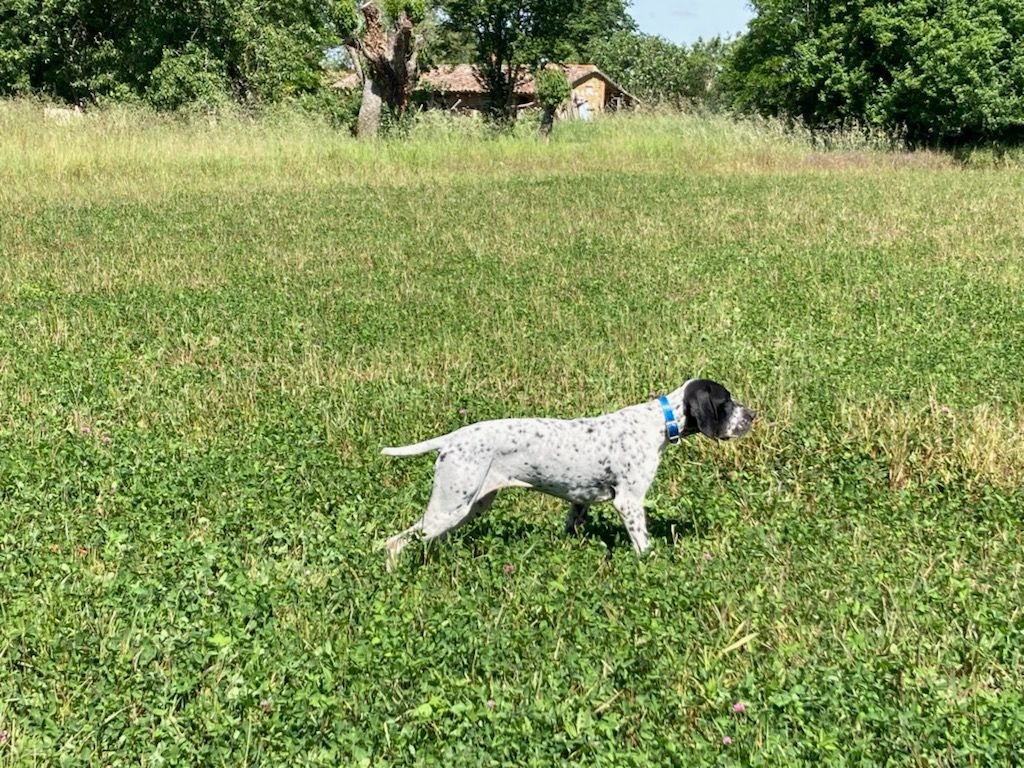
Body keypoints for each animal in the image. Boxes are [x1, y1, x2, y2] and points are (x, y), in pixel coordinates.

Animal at [380, 378, 757, 565]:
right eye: (726, 401)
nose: (752, 415)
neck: (657, 423)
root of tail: (453, 438)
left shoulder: (580, 502)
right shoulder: (629, 503)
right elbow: (643, 546)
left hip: (470, 507)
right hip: (449, 507)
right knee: (393, 543)